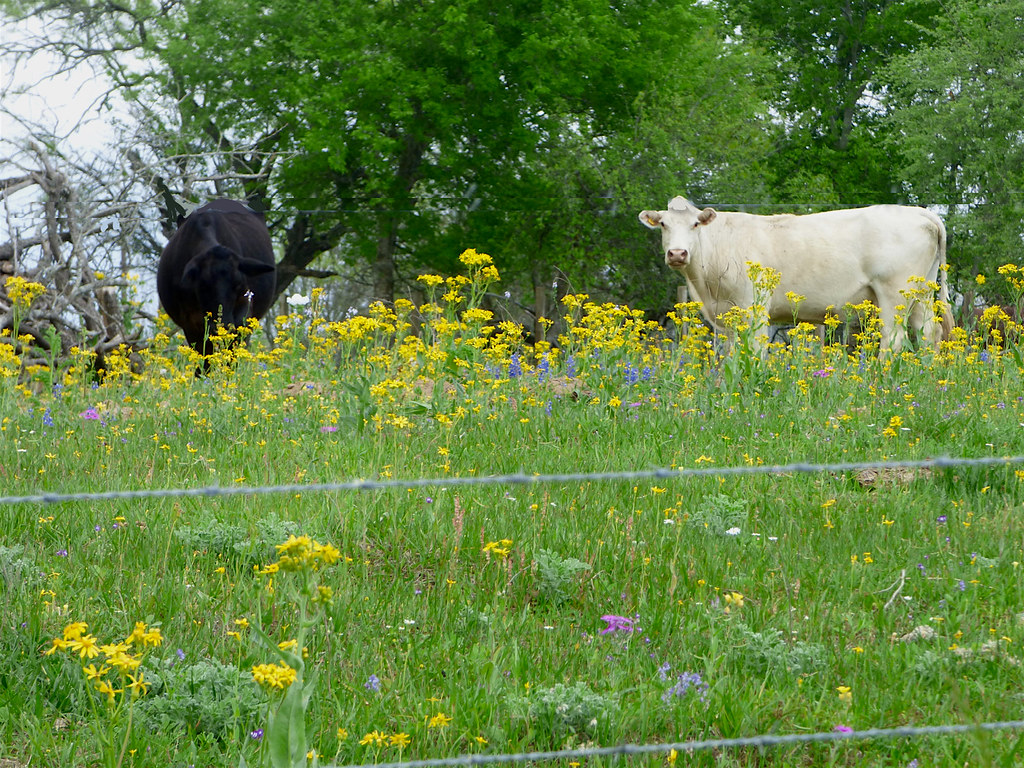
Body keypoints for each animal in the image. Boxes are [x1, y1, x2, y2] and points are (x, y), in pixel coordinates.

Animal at [639, 197, 954, 353]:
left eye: (695, 224)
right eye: (664, 224)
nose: (677, 254)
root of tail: (921, 213)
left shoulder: (753, 305)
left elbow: (755, 348)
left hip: (893, 292)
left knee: (894, 336)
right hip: (921, 292)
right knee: (929, 332)